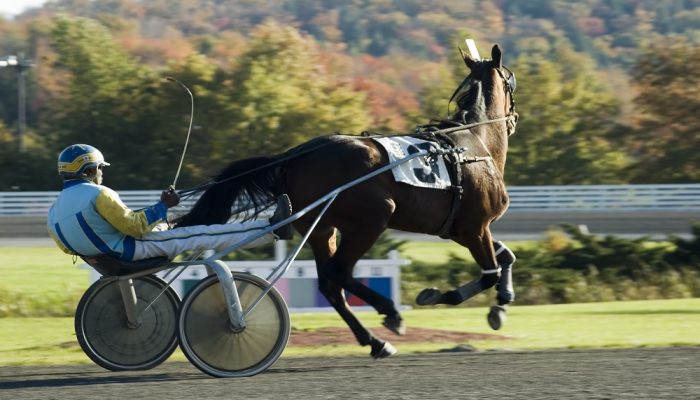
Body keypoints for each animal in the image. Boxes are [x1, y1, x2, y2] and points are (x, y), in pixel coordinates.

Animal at [178, 45, 520, 358]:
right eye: (510, 81)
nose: (514, 118)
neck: (474, 143)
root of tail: (296, 156)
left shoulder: (459, 230)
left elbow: (506, 257)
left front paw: (501, 305)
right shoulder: (476, 227)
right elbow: (489, 272)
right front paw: (438, 296)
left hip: (321, 227)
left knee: (330, 285)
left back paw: (376, 341)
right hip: (371, 219)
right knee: (339, 272)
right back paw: (390, 313)